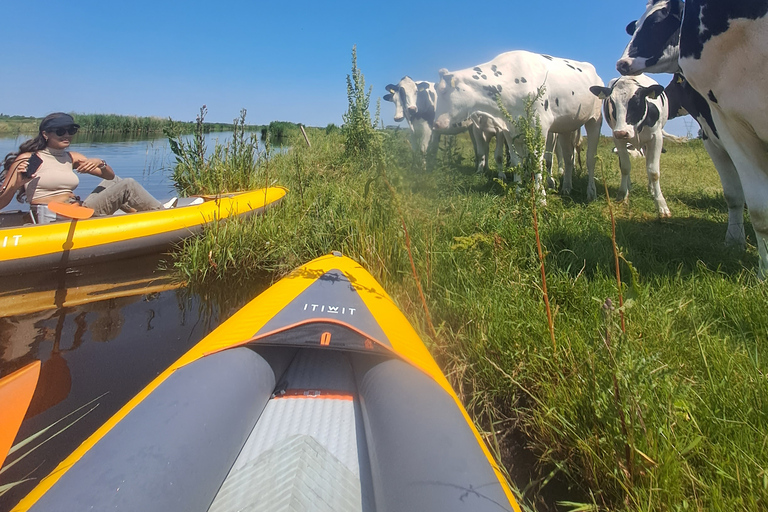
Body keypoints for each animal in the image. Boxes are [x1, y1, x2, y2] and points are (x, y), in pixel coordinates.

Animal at [432, 50, 608, 201]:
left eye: (443, 91)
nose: (435, 124)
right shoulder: (509, 131)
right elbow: (517, 162)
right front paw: (518, 192)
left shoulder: (541, 128)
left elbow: (537, 162)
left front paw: (541, 198)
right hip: (566, 128)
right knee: (568, 158)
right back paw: (566, 187)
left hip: (594, 120)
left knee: (590, 159)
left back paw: (591, 192)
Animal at [592, 74, 668, 216]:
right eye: (611, 103)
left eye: (636, 102)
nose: (621, 132)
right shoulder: (618, 139)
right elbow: (625, 167)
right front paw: (623, 195)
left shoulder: (656, 138)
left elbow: (653, 171)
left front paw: (661, 205)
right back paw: (628, 186)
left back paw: (651, 189)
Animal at [616, 0, 768, 280]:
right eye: (636, 25)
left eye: (658, 21)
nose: (622, 63)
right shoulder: (724, 131)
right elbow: (745, 199)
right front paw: (737, 244)